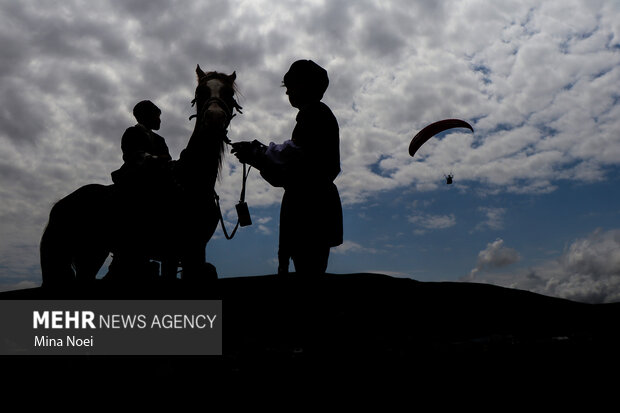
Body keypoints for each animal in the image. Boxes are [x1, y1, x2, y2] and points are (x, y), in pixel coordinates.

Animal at [40, 65, 241, 286]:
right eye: (200, 92)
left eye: (229, 93)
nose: (214, 118)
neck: (190, 182)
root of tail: (61, 203)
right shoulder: (171, 253)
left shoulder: (195, 250)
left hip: (93, 253)